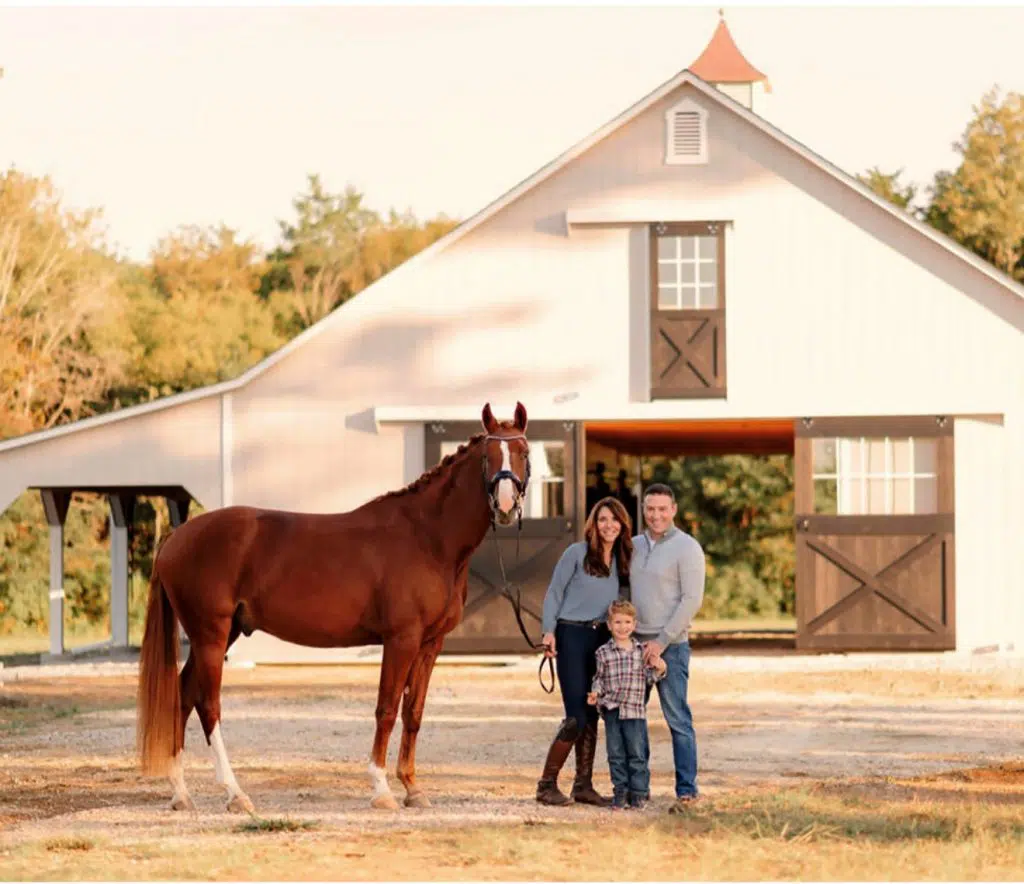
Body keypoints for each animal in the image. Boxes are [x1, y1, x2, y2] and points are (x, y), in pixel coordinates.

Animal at [136, 401, 531, 813]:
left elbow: (413, 711)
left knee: (183, 694)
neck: (427, 538)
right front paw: (382, 790)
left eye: (523, 452)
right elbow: (386, 708)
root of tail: (176, 539)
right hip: (210, 635)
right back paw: (235, 794)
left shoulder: (429, 644)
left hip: (221, 635)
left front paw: (413, 788)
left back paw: (181, 793)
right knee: (207, 703)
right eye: (487, 457)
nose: (506, 506)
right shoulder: (401, 639)